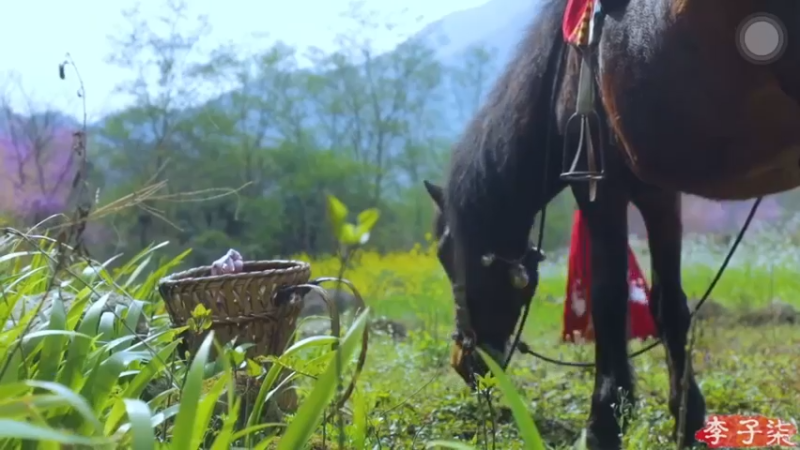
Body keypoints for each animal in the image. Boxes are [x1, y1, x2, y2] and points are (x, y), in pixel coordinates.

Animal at [422, 0, 796, 448]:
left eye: (445, 253)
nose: (464, 361)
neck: (564, 69)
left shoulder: (599, 187)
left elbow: (608, 300)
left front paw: (602, 422)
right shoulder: (659, 193)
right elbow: (668, 304)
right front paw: (685, 417)